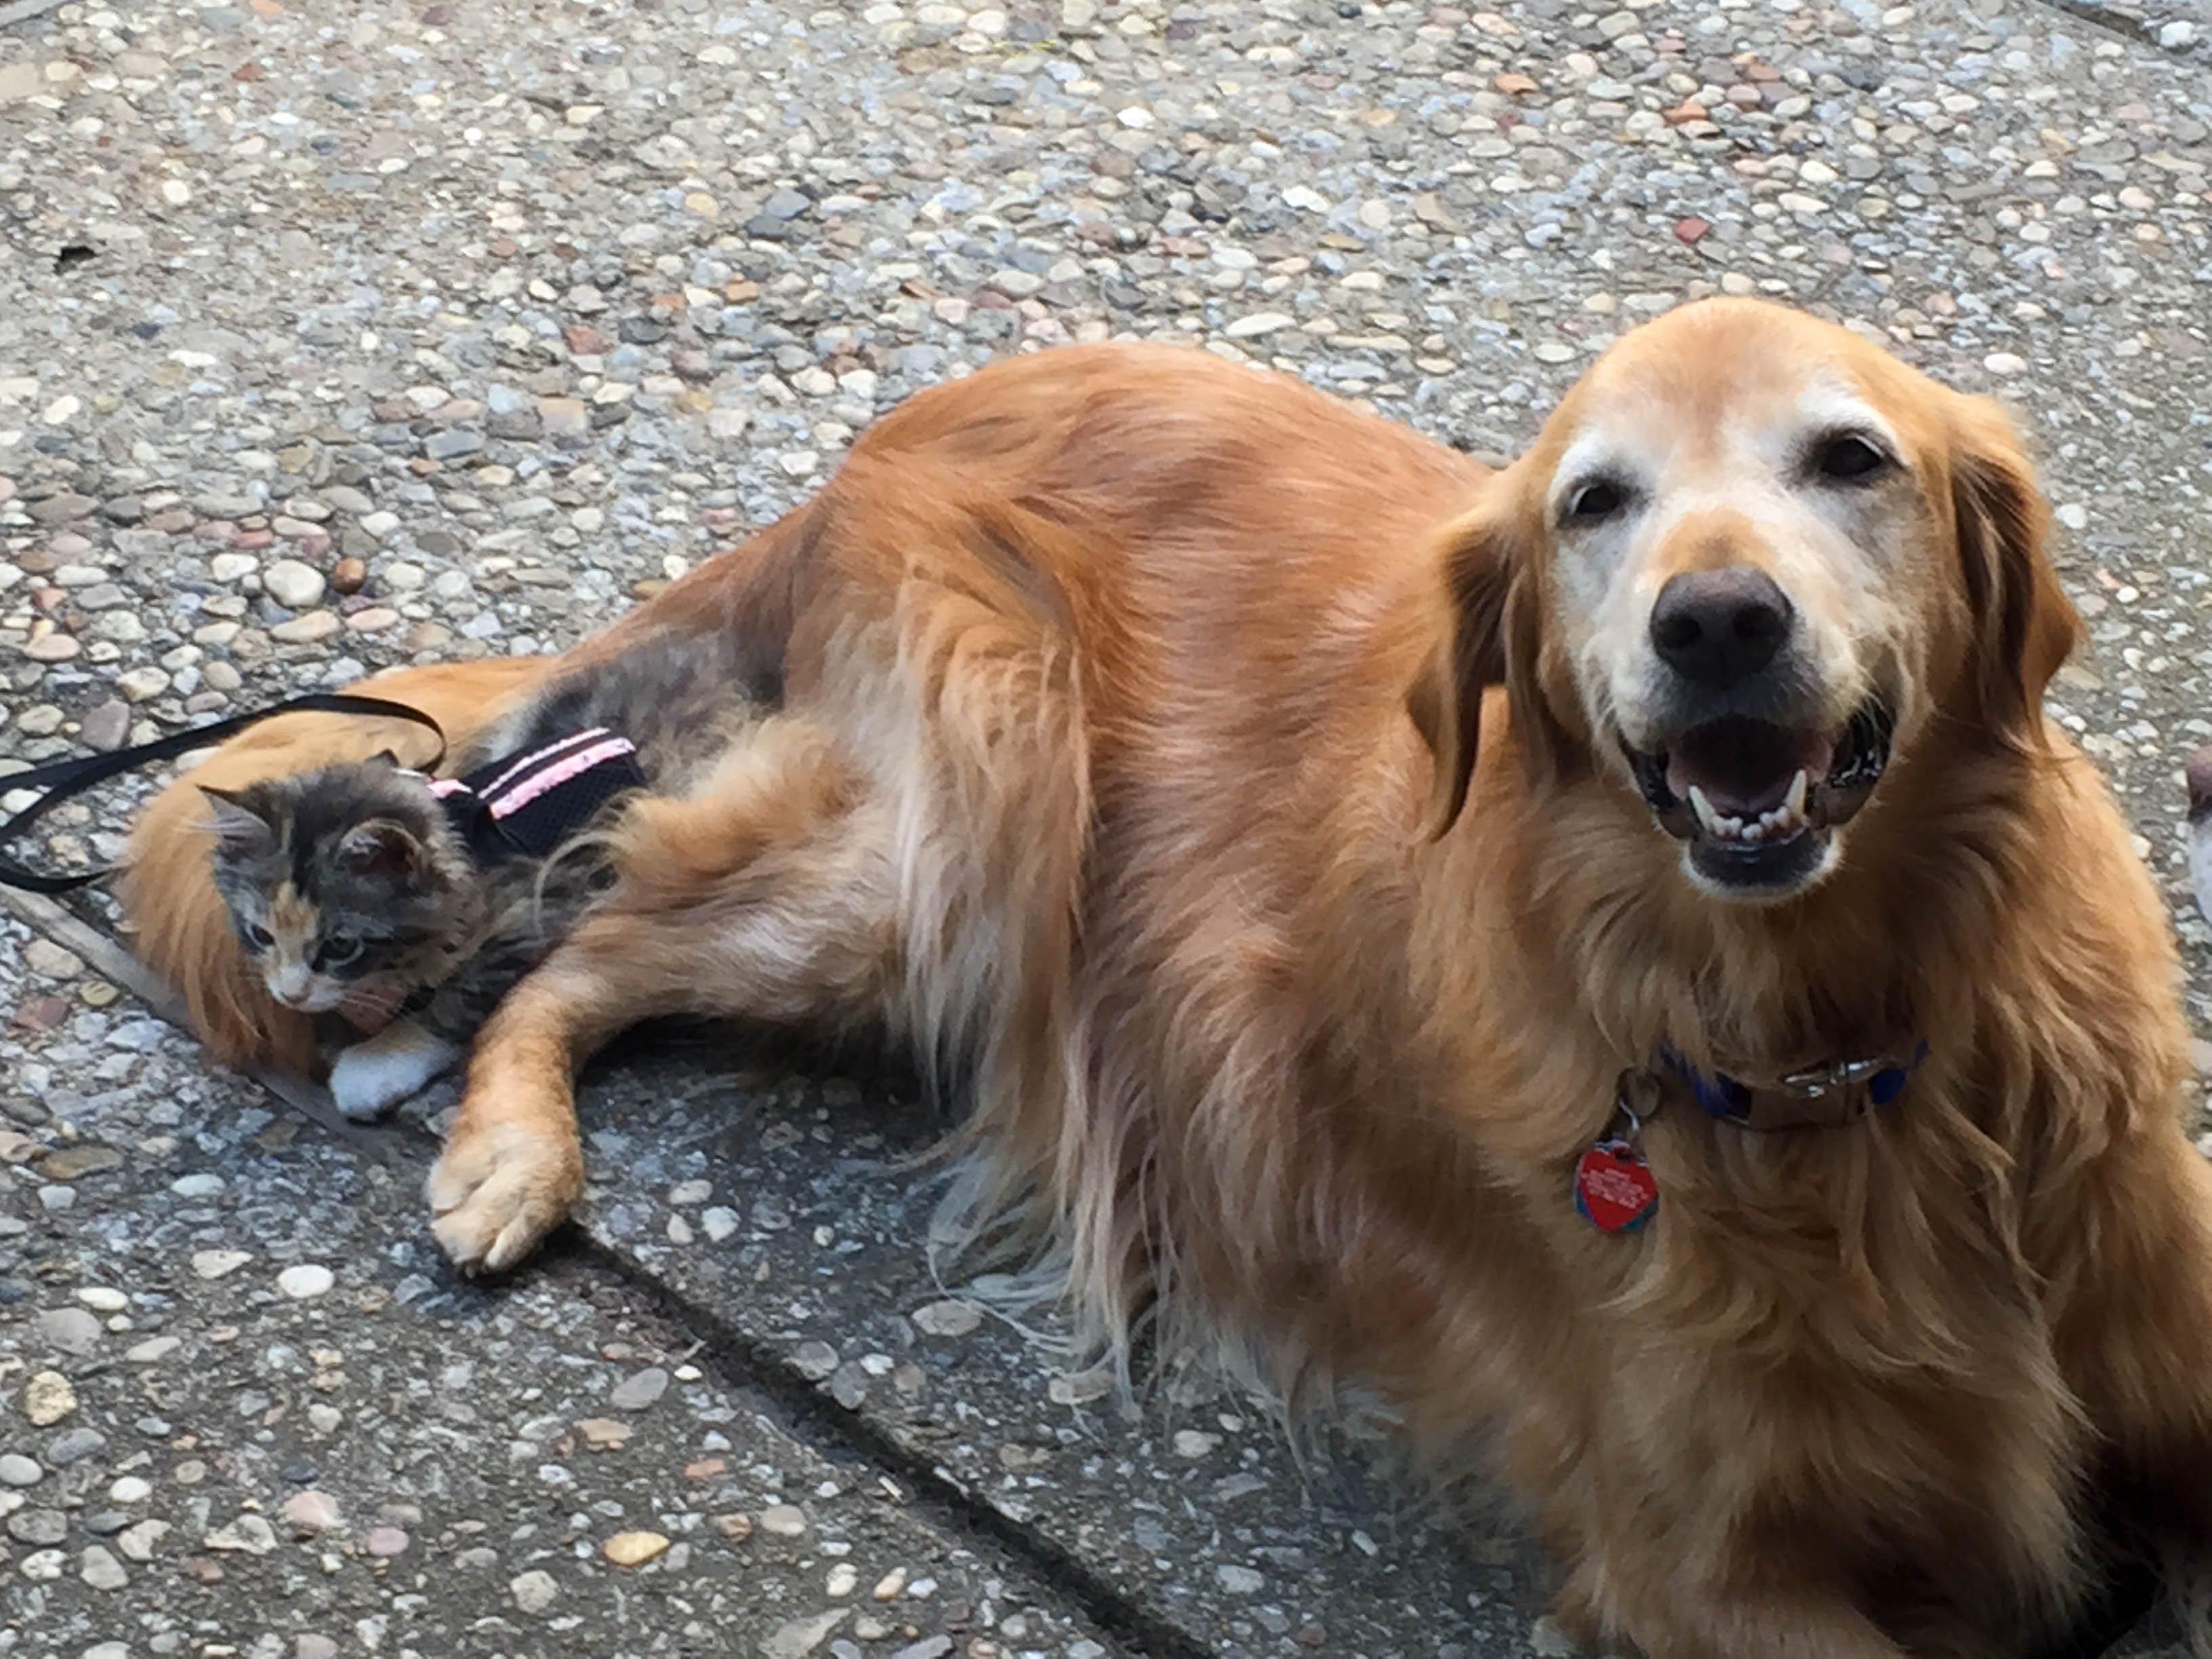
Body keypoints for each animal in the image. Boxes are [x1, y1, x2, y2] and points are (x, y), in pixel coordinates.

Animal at [203, 628, 769, 1124]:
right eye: (260, 934)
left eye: (341, 946)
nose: (291, 996)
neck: (469, 844)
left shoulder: (550, 897)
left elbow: (458, 999)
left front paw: (377, 1061)